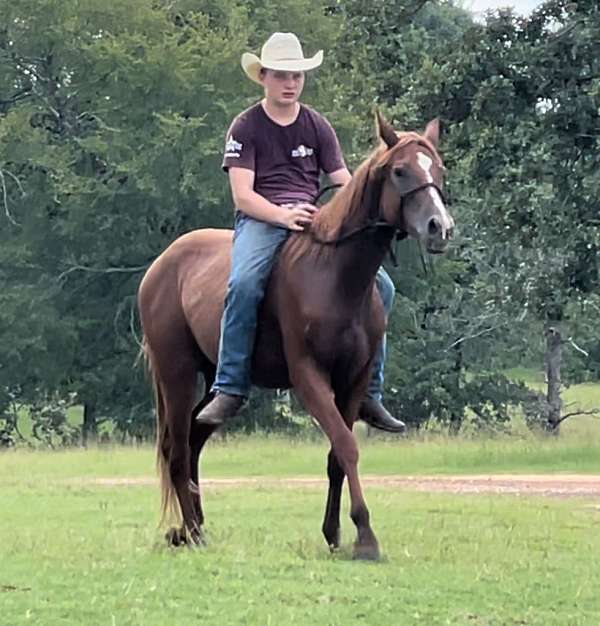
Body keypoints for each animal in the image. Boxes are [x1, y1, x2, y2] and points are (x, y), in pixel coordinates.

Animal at [137, 111, 454, 556]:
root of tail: (161, 265)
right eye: (400, 170)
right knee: (178, 451)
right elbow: (347, 446)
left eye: (438, 169)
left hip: (212, 378)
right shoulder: (309, 376)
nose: (439, 227)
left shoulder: (353, 380)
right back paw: (192, 533)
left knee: (195, 439)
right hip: (176, 373)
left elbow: (338, 455)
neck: (334, 273)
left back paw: (192, 528)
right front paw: (366, 537)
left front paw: (335, 533)